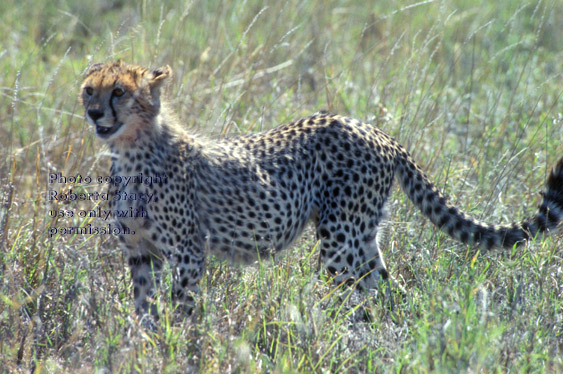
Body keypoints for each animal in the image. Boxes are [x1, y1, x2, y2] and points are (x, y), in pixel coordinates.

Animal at [80, 61, 563, 318]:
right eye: (89, 89)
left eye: (119, 91)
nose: (93, 112)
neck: (131, 151)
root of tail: (370, 127)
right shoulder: (140, 252)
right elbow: (143, 311)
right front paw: (142, 348)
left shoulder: (187, 252)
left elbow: (181, 312)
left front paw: (176, 347)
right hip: (360, 237)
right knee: (388, 291)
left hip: (340, 241)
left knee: (364, 296)